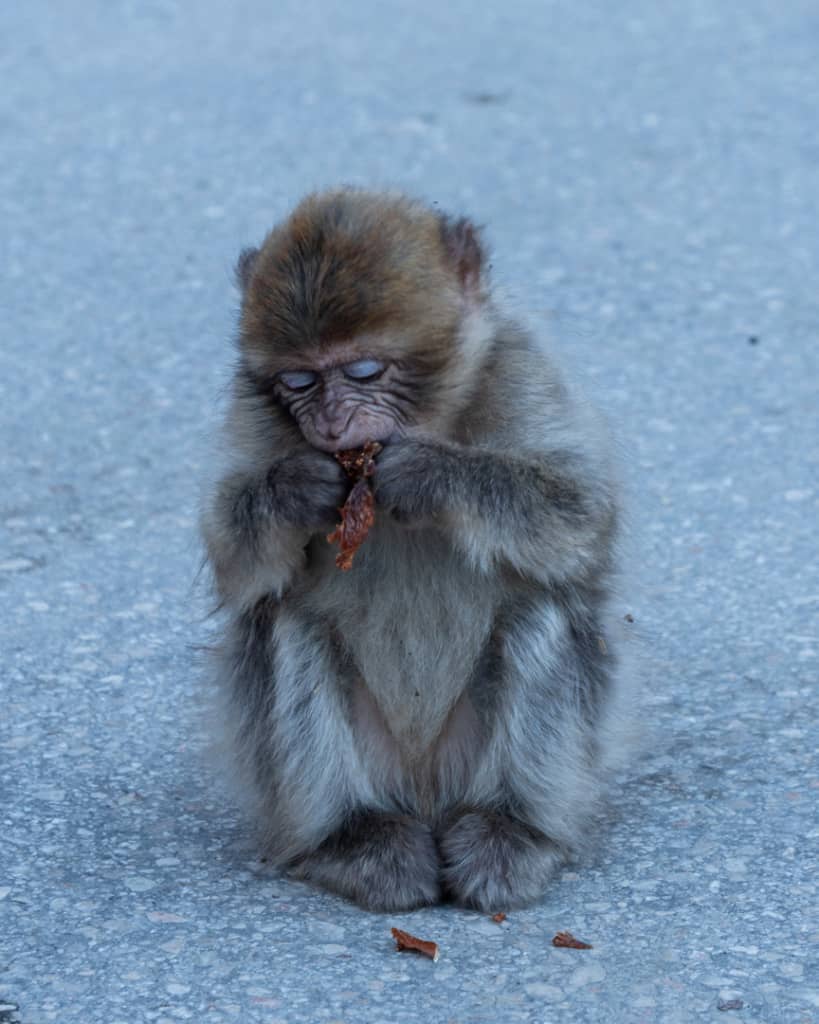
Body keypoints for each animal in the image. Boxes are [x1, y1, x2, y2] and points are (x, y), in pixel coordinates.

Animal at [200, 188, 631, 913]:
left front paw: (431, 474)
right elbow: (234, 563)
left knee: (539, 615)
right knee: (289, 627)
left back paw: (510, 830)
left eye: (364, 370)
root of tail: (426, 792)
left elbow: (581, 516)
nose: (332, 425)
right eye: (298, 382)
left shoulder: (518, 366)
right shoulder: (249, 410)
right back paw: (352, 838)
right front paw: (293, 490)